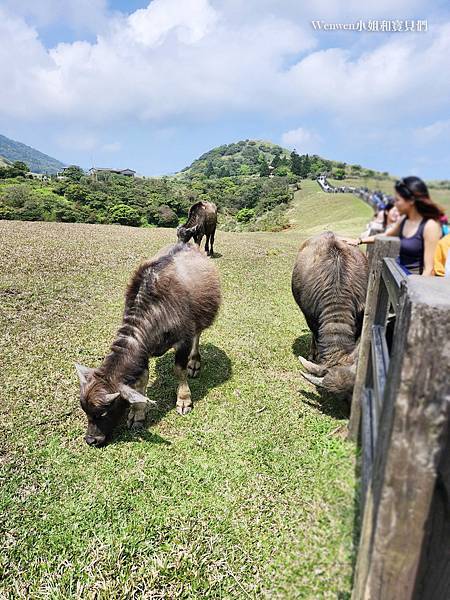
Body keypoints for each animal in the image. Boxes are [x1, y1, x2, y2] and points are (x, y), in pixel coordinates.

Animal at [76, 243, 222, 446]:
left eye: (104, 412)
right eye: (86, 412)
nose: (91, 440)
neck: (157, 310)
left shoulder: (183, 340)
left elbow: (179, 370)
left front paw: (184, 400)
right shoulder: (143, 351)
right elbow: (142, 379)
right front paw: (137, 413)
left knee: (197, 337)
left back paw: (194, 362)